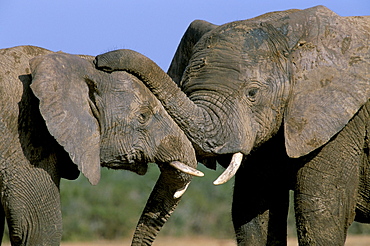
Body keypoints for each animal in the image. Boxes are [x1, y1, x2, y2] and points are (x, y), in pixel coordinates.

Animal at [94, 5, 370, 246]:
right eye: (184, 88)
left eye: (252, 93)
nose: (100, 61)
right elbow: (251, 210)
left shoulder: (339, 120)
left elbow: (320, 213)